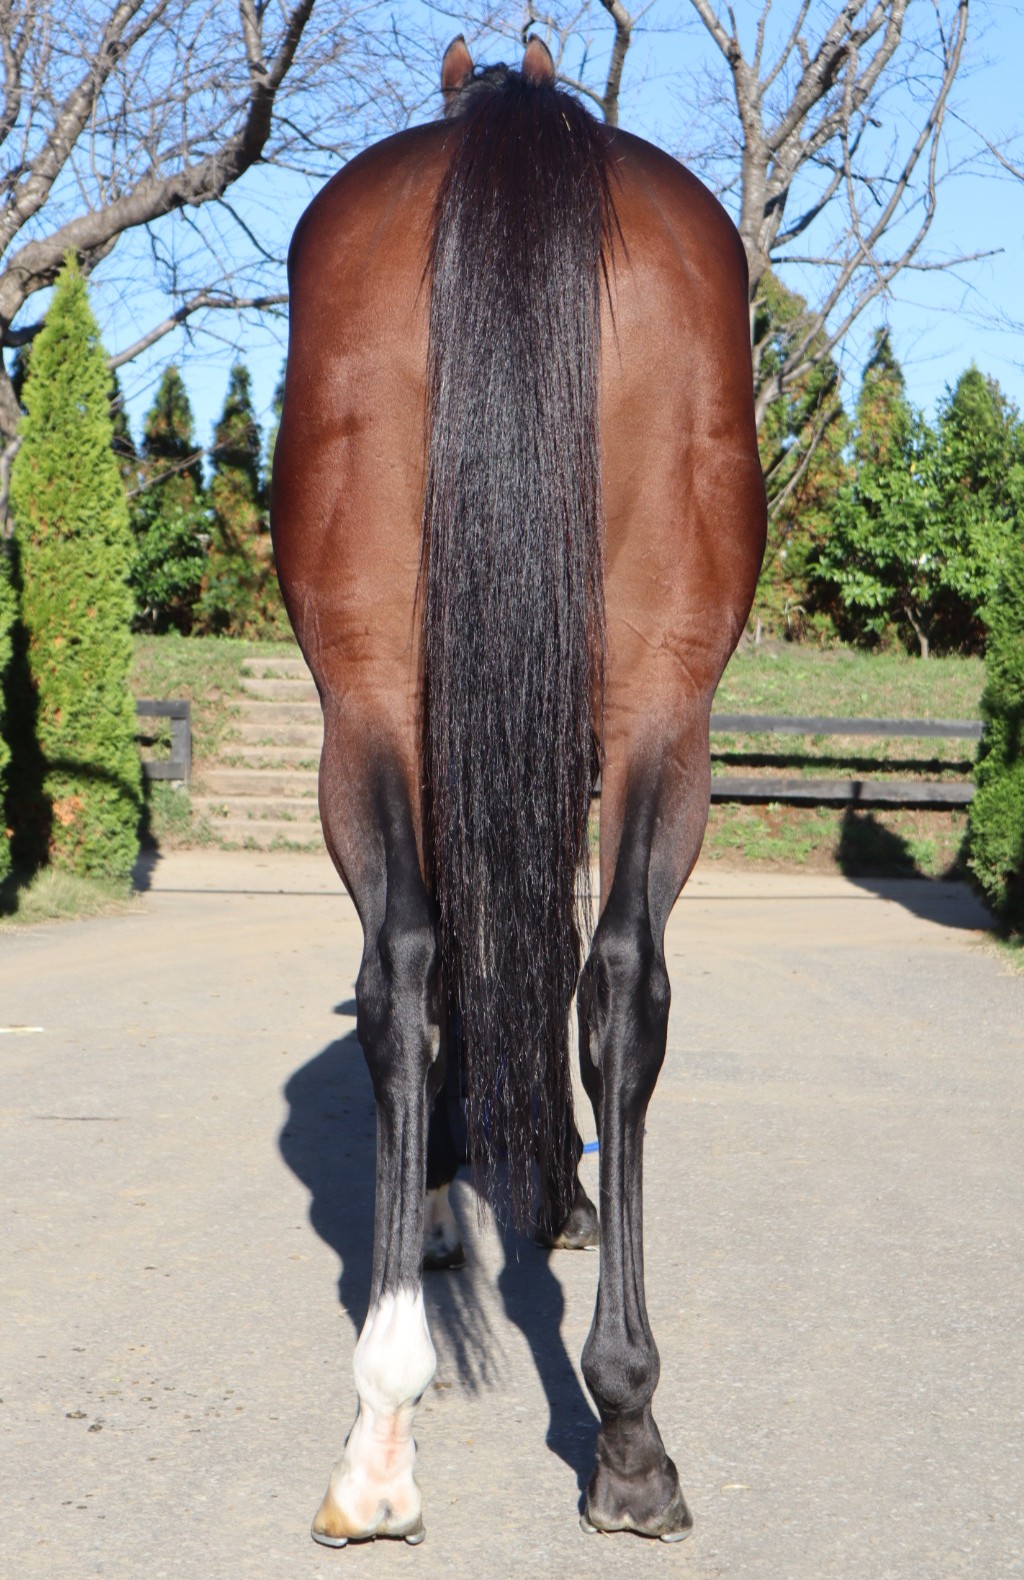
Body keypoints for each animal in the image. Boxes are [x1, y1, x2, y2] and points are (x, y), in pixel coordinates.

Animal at [271, 33, 766, 1547]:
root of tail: (516, 134)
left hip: (379, 694)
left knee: (420, 970)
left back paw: (395, 1424)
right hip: (658, 706)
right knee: (605, 980)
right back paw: (618, 1428)